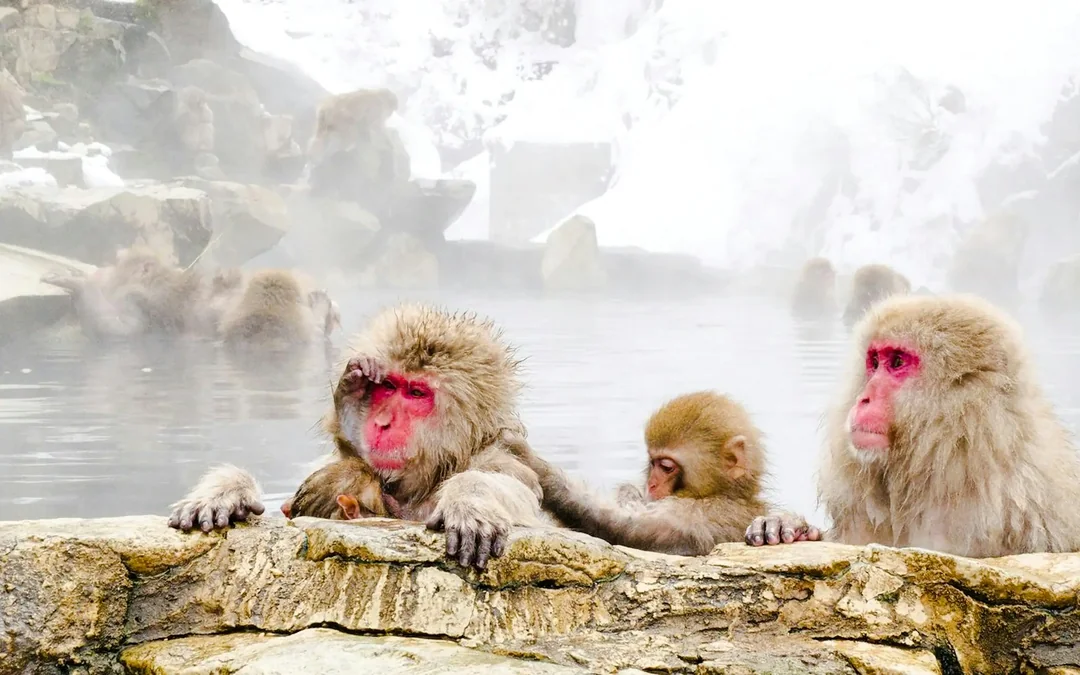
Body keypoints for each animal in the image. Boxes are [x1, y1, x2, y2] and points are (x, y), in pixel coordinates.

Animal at [168, 303, 546, 570]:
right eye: (389, 386)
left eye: (416, 393)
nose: (382, 422)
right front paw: (225, 493)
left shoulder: (502, 463)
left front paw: (470, 501)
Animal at [505, 391, 816, 556]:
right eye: (651, 462)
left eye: (666, 466)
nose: (652, 485)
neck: (726, 493)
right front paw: (630, 492)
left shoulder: (697, 515)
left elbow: (625, 529)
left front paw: (533, 463)